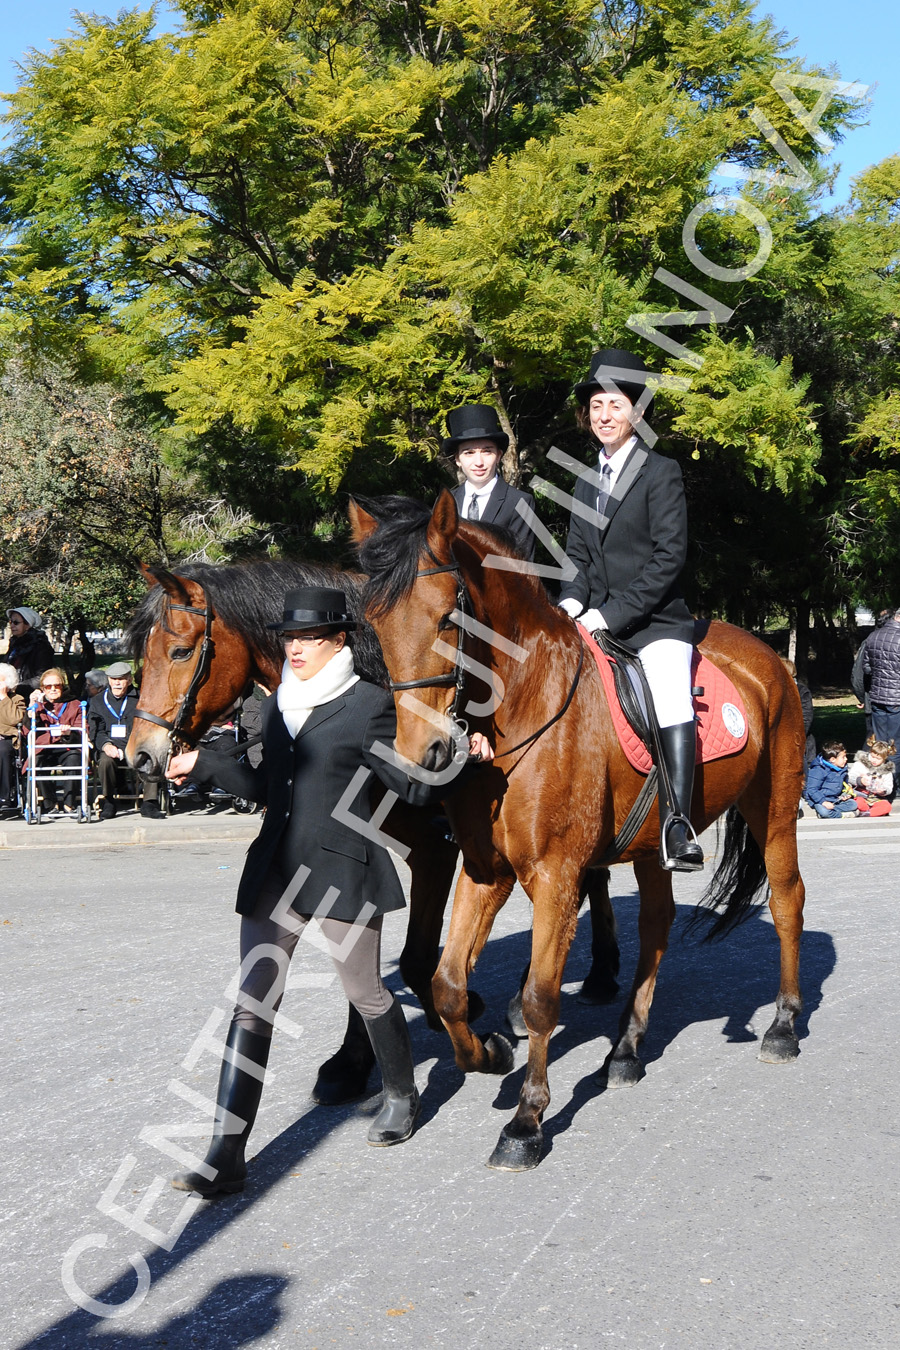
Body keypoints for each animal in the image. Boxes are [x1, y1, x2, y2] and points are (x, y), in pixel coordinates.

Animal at [350, 494, 809, 1171]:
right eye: (375, 626)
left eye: (446, 619)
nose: (423, 756)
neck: (521, 705)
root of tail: (768, 654)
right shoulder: (485, 870)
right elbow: (449, 984)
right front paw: (490, 1054)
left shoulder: (556, 876)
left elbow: (540, 997)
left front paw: (526, 1122)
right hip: (653, 843)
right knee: (656, 926)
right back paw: (626, 1050)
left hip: (771, 810)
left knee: (786, 902)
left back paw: (782, 1026)